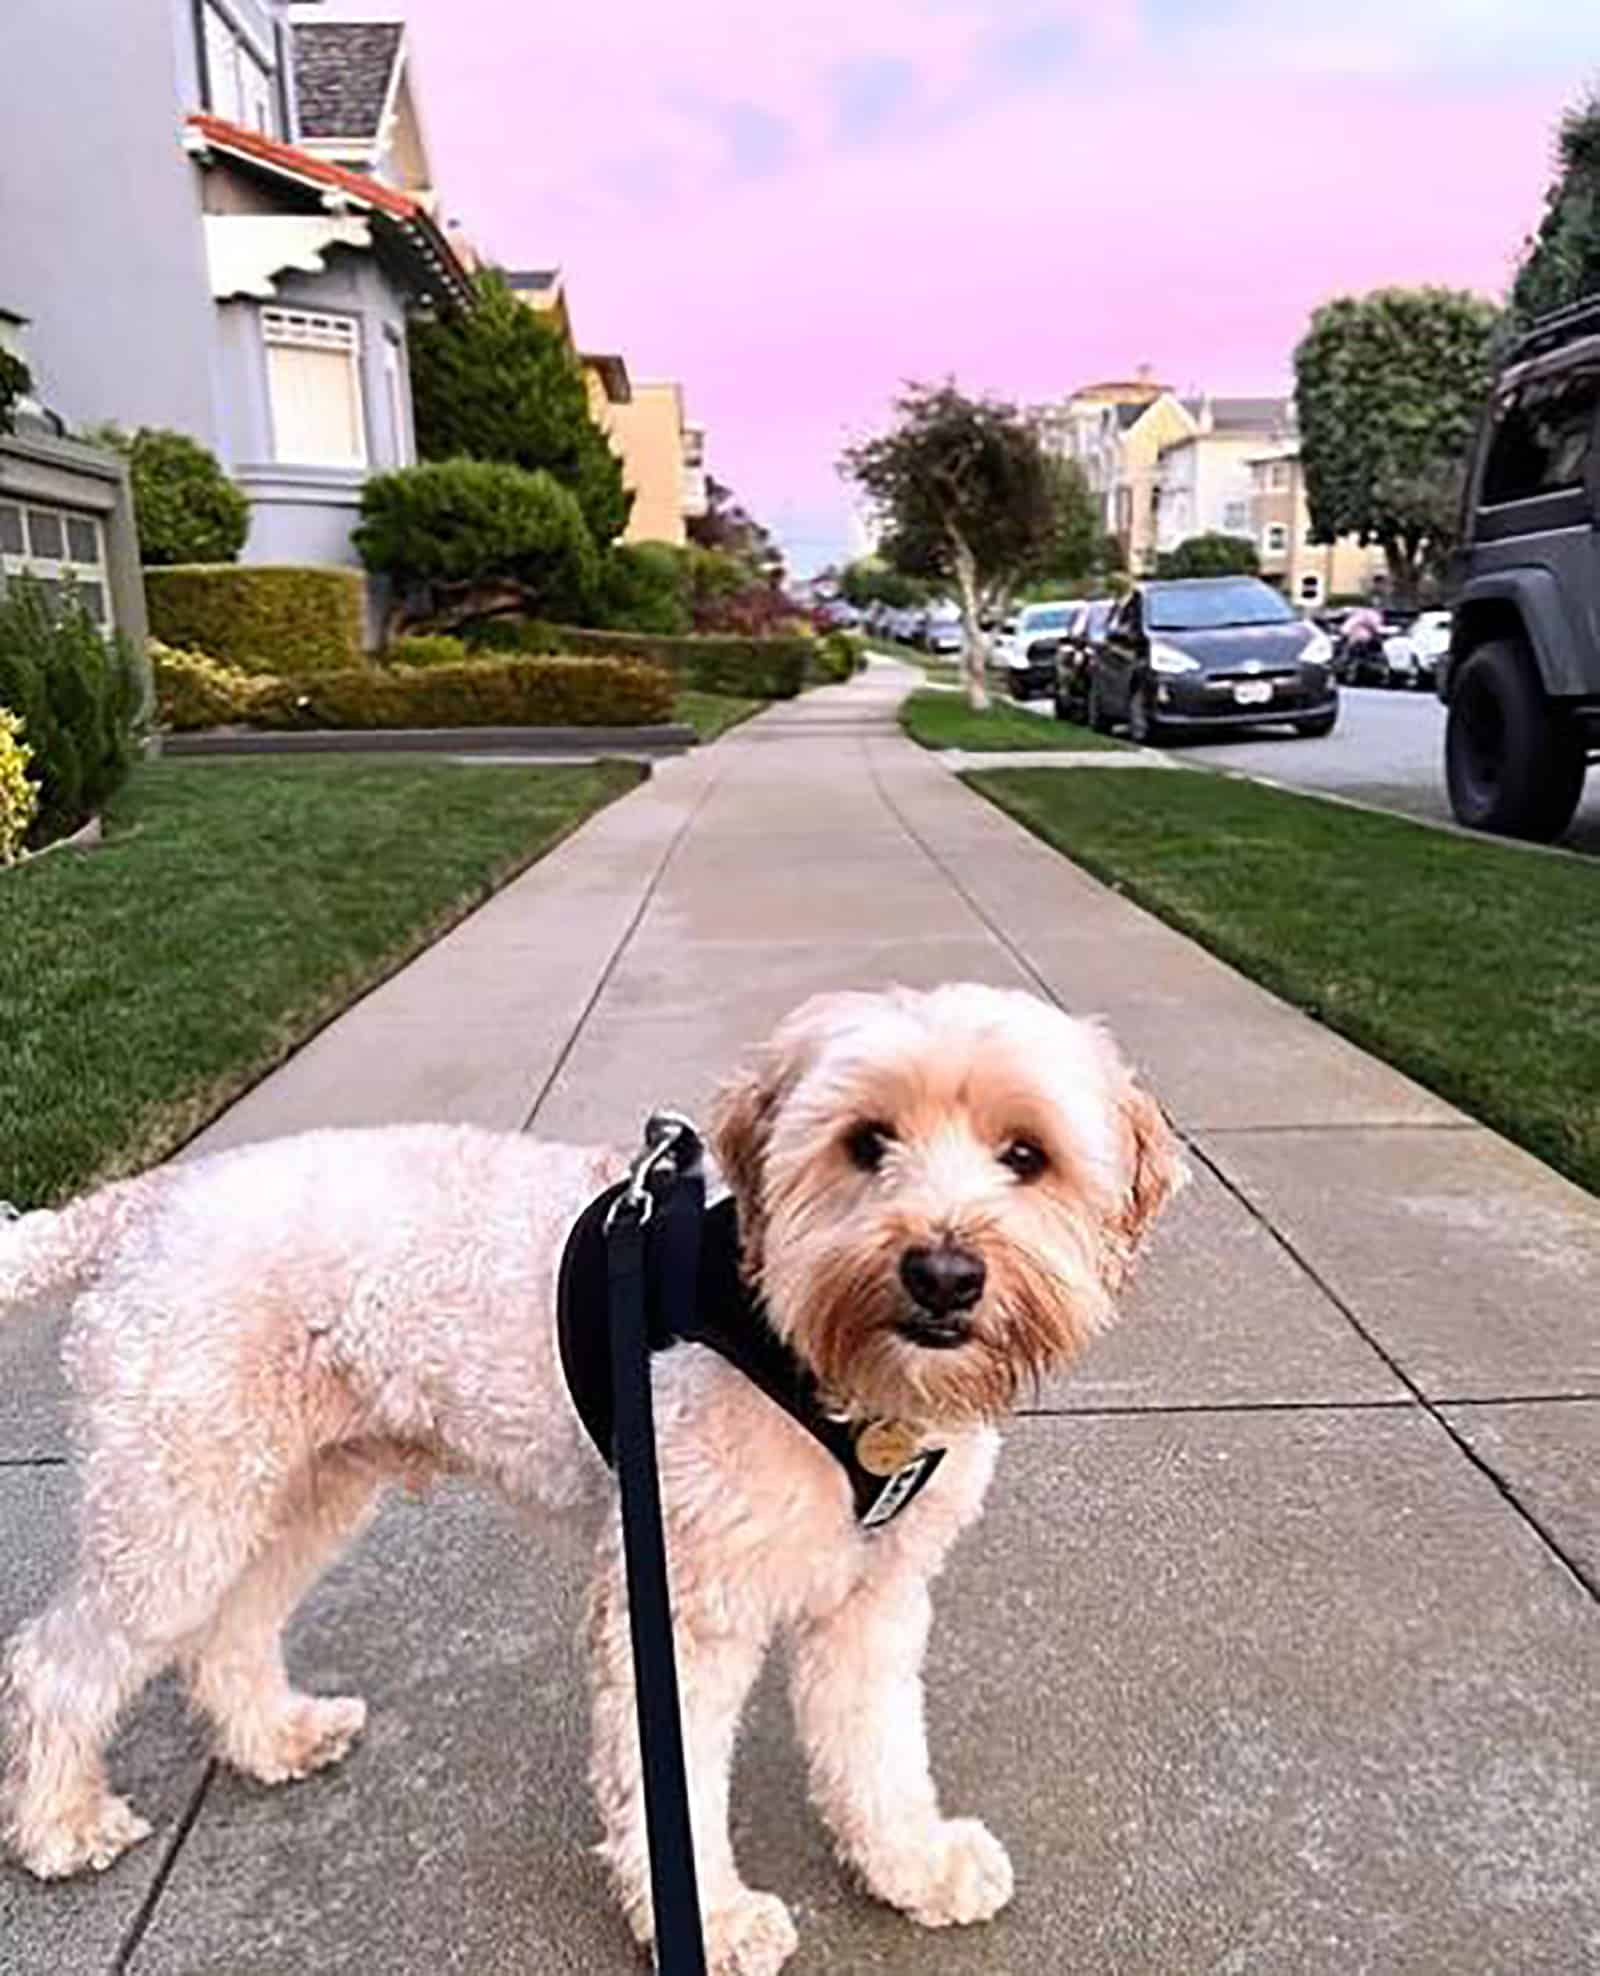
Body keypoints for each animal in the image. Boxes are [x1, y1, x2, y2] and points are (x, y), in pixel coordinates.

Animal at [0, 988, 1169, 1976]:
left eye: (1026, 1154)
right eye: (865, 1141)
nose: (943, 1272)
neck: (817, 1357)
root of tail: (148, 1200)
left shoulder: (871, 1595)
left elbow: (875, 1748)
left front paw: (912, 1866)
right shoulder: (680, 1604)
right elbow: (675, 1780)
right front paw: (715, 1919)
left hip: (298, 1488)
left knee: (230, 1631)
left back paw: (274, 1737)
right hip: (176, 1498)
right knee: (56, 1664)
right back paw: (61, 1823)